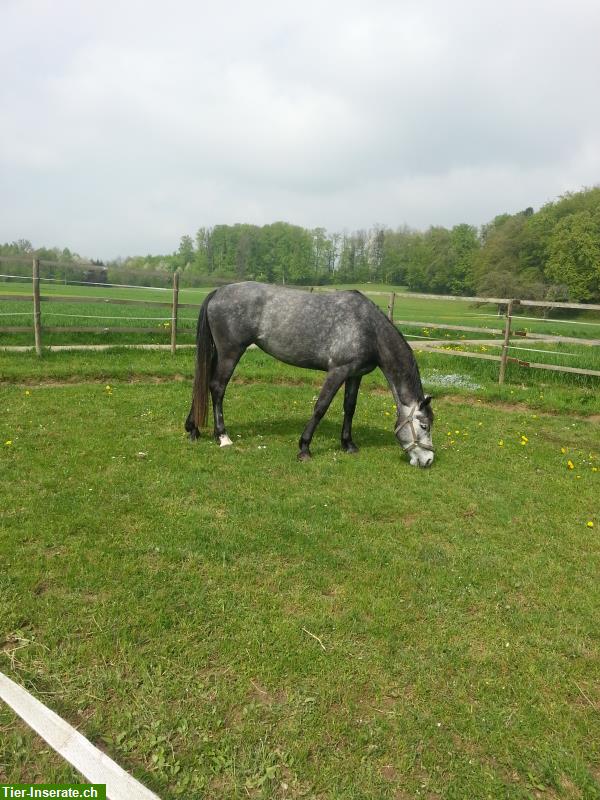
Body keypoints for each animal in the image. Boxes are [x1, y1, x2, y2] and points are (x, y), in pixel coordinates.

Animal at [185, 282, 434, 466]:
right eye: (424, 426)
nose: (429, 460)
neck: (368, 328)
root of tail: (218, 292)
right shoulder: (337, 371)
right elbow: (320, 407)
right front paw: (304, 448)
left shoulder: (354, 375)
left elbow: (350, 408)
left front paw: (348, 444)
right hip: (230, 352)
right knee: (217, 387)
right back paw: (222, 436)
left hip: (218, 353)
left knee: (203, 383)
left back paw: (193, 429)